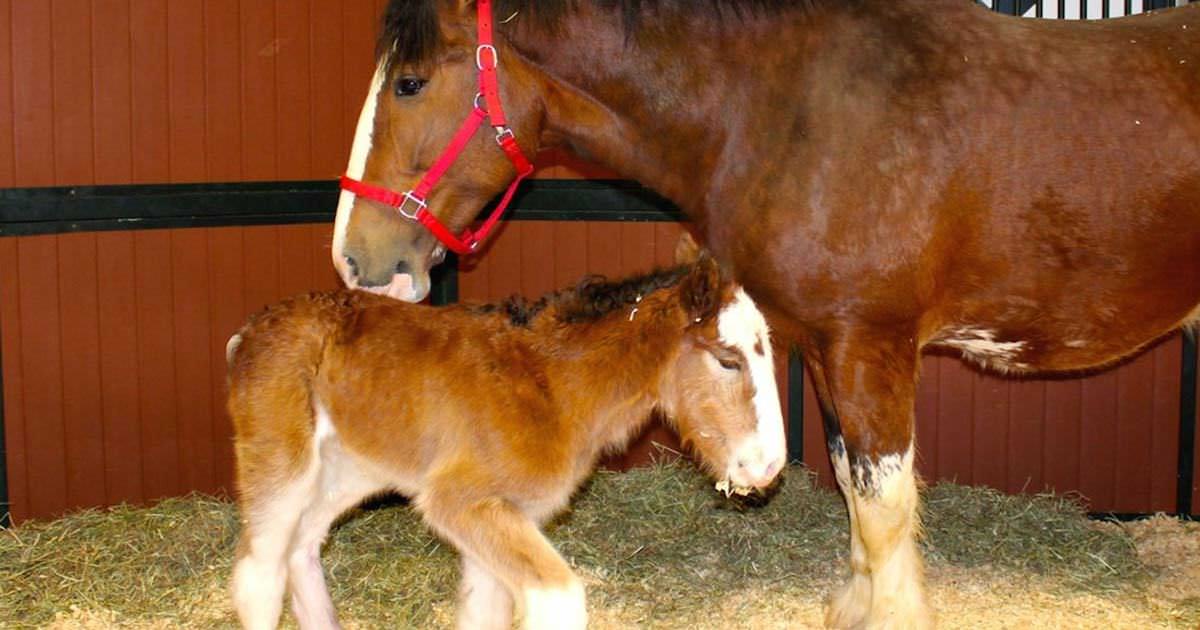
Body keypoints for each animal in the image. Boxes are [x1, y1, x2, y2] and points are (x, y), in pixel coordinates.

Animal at [328, 2, 1200, 624]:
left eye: (409, 83)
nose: (355, 260)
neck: (785, 109)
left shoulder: (868, 346)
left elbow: (883, 506)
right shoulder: (825, 346)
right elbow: (852, 486)